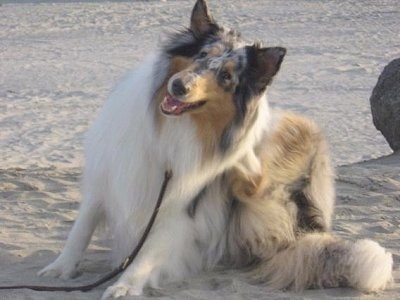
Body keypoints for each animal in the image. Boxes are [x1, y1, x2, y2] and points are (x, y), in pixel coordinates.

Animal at [38, 1, 394, 298]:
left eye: (225, 76)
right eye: (201, 55)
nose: (178, 86)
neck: (180, 127)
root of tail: (309, 225)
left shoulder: (178, 207)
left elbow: (148, 252)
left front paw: (125, 285)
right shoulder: (108, 175)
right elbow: (81, 229)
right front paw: (59, 269)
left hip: (290, 156)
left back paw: (247, 163)